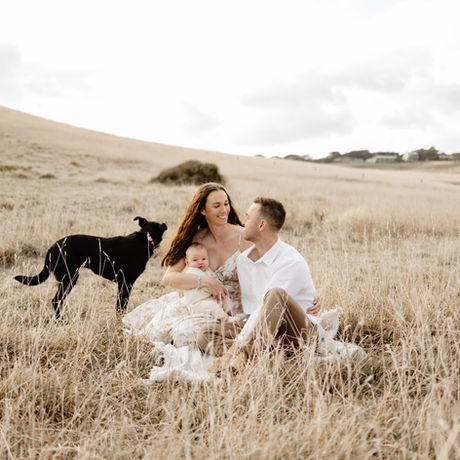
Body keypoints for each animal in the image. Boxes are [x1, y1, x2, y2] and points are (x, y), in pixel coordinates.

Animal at [14, 216, 167, 319]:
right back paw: (61, 320)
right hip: (69, 278)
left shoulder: (122, 283)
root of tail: (52, 248)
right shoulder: (126, 282)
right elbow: (122, 304)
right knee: (56, 300)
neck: (145, 238)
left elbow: (118, 304)